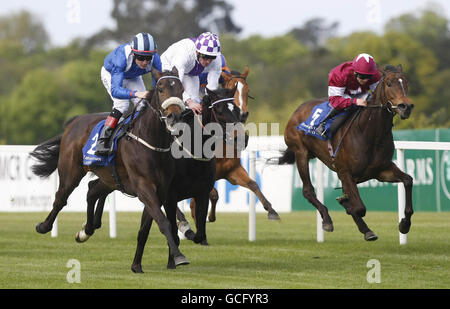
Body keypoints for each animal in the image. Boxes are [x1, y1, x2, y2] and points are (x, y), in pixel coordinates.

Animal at [28, 68, 190, 268]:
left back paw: (87, 230)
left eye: (181, 89)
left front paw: (153, 262)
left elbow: (157, 226)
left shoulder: (162, 190)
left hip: (110, 178)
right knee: (61, 198)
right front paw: (178, 256)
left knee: (92, 190)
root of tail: (75, 120)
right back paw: (44, 226)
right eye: (160, 89)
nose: (174, 117)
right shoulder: (144, 188)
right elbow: (163, 222)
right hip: (71, 171)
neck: (152, 142)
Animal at [130, 86, 244, 272]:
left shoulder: (202, 193)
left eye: (237, 110)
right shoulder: (170, 197)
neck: (191, 155)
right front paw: (175, 258)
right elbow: (172, 228)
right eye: (220, 110)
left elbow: (200, 232)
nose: (242, 138)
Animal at [280, 63, 414, 239]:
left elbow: (408, 180)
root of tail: (297, 110)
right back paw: (327, 219)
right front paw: (346, 205)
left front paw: (404, 224)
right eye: (389, 84)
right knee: (308, 191)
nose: (406, 107)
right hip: (301, 153)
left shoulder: (382, 170)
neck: (369, 133)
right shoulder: (344, 173)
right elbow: (359, 208)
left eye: (406, 83)